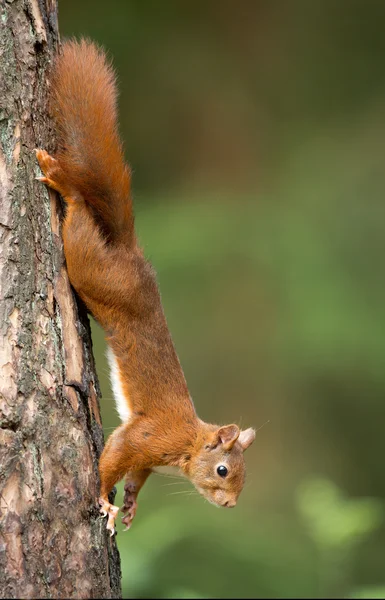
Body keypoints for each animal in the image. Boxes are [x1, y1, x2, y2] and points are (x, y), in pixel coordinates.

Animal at [35, 39, 252, 536]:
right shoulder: (148, 436)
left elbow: (136, 475)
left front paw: (131, 503)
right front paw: (103, 498)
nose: (231, 506)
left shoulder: (149, 459)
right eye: (223, 470)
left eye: (245, 477)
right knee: (79, 215)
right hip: (94, 271)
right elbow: (114, 457)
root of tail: (131, 255)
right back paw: (64, 183)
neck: (188, 444)